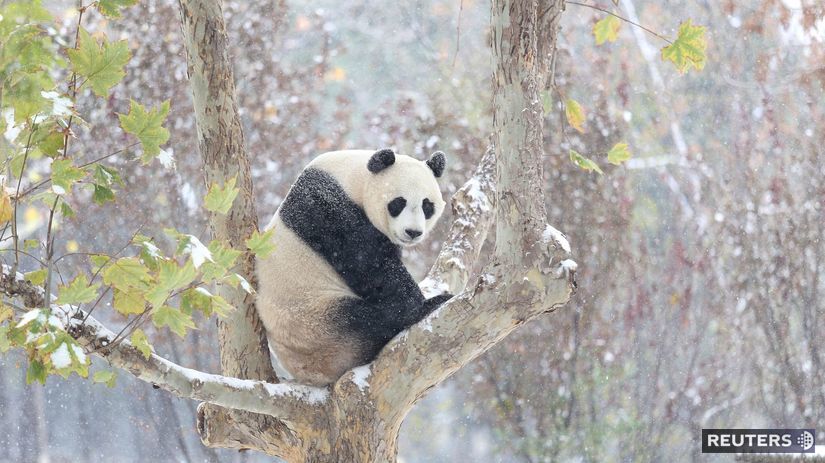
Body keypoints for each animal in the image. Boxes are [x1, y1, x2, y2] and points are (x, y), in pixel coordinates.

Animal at [256, 148, 453, 386]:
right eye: (398, 203)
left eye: (427, 206)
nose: (413, 232)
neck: (351, 178)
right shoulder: (330, 211)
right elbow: (372, 267)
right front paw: (421, 303)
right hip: (314, 323)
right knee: (366, 321)